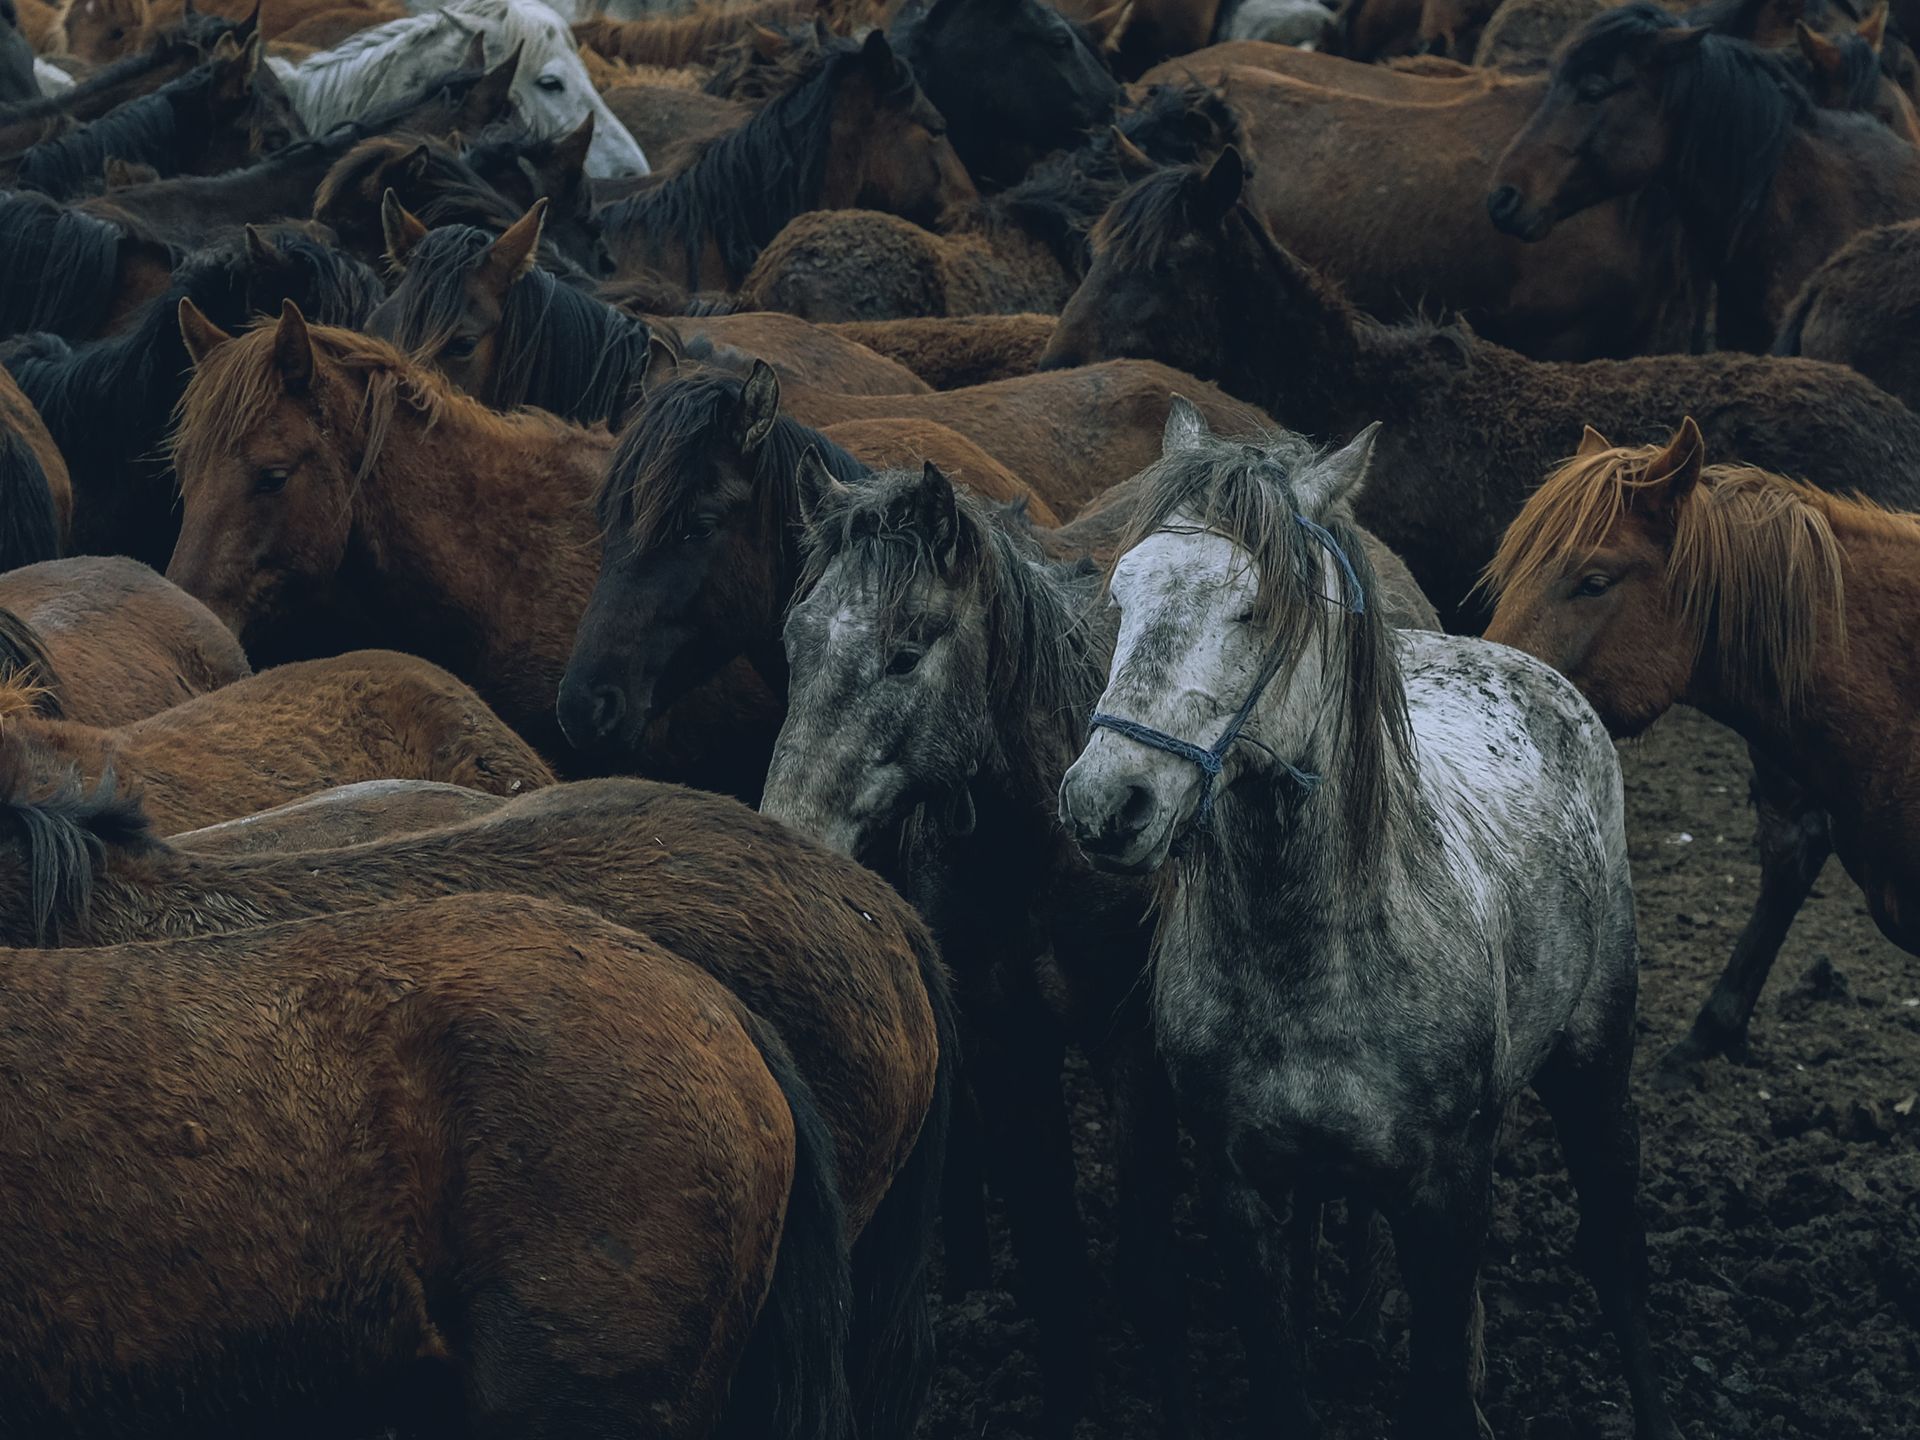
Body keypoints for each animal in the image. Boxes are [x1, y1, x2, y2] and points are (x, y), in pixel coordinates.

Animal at [1055, 403, 1681, 1440]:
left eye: (1257, 608)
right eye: (1121, 594)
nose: (1108, 804)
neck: (1316, 956)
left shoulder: (1446, 1192)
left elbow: (1439, 1374)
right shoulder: (1242, 1192)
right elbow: (1281, 1373)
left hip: (1595, 1066)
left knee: (1617, 1252)